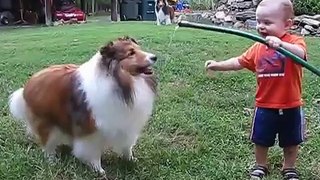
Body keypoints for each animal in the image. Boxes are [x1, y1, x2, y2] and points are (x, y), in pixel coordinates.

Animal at [7, 36, 158, 174]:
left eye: (139, 48)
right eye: (131, 53)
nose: (154, 57)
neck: (120, 81)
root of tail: (28, 85)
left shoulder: (126, 123)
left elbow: (127, 147)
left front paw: (131, 160)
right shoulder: (92, 130)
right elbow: (93, 152)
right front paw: (98, 170)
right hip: (47, 122)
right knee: (47, 144)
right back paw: (52, 161)